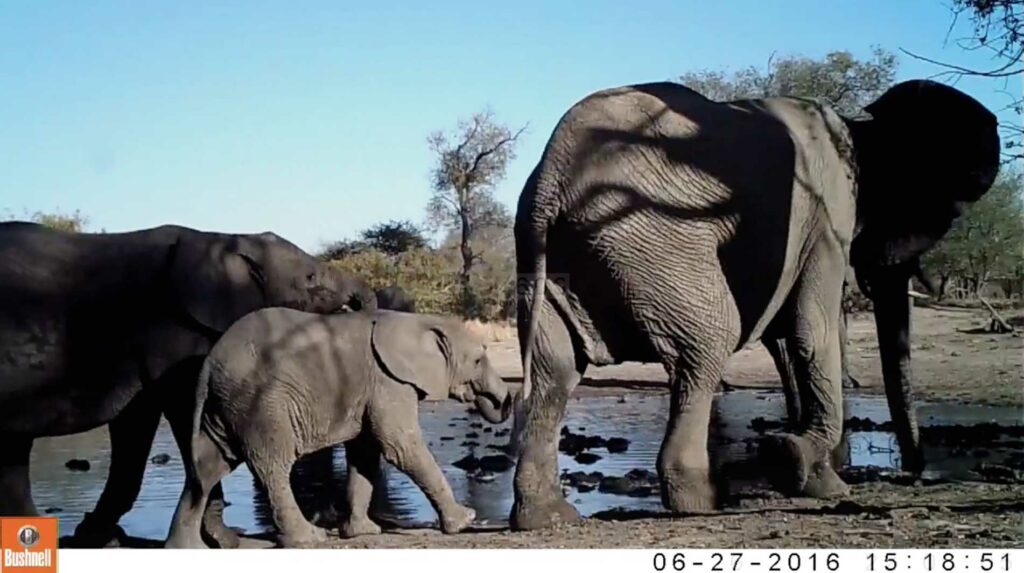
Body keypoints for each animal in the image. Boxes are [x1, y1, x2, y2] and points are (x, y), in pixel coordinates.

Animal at [0, 222, 377, 546]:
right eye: (310, 277)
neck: (227, 239)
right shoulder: (171, 332)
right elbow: (183, 415)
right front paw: (227, 542)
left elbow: (136, 426)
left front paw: (96, 537)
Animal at [164, 309, 512, 548]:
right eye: (478, 360)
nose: (504, 400)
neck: (416, 320)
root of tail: (209, 365)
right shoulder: (388, 381)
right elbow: (399, 446)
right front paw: (465, 519)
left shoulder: (371, 388)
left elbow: (366, 453)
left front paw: (362, 532)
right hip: (260, 404)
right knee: (273, 466)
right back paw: (309, 538)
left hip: (227, 406)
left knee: (207, 469)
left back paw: (187, 548)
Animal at [510, 79, 1000, 530]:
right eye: (944, 211)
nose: (917, 475)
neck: (863, 129)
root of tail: (551, 180)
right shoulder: (826, 215)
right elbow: (815, 329)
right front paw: (807, 470)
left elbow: (789, 333)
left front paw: (807, 469)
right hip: (648, 238)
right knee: (707, 343)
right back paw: (704, 501)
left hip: (552, 256)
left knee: (554, 369)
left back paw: (547, 518)